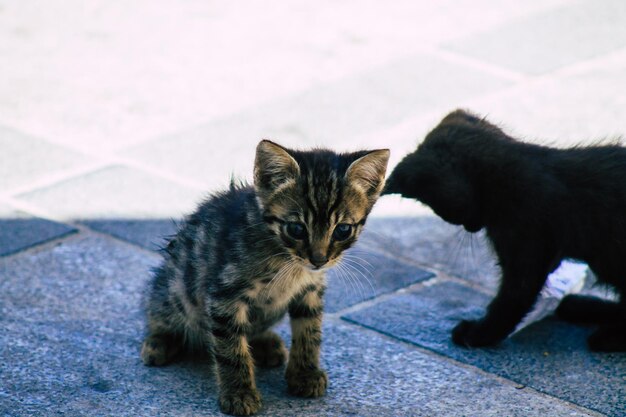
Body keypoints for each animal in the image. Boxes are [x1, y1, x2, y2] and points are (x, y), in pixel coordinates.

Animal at [139, 139, 388, 412]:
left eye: (343, 230)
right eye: (296, 228)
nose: (319, 259)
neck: (288, 262)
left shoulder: (311, 289)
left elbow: (310, 331)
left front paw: (305, 373)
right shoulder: (224, 294)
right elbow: (230, 348)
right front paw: (239, 393)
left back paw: (266, 342)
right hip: (177, 291)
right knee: (156, 311)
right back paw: (159, 342)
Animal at [382, 109, 624, 352]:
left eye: (444, 213)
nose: (471, 227)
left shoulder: (525, 245)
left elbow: (511, 299)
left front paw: (478, 334)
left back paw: (607, 334)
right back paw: (580, 306)